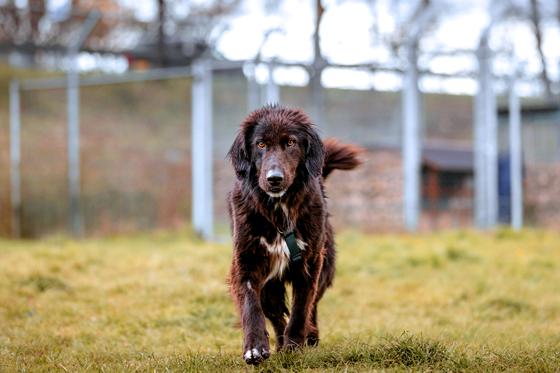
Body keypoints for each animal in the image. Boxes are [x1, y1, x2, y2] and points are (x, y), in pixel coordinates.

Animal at [229, 104, 364, 364]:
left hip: (325, 265)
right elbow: (251, 306)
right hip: (270, 286)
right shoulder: (246, 262)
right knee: (275, 315)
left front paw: (294, 347)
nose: (274, 179)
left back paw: (308, 337)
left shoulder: (310, 263)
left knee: (311, 308)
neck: (279, 208)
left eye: (291, 142)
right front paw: (255, 348)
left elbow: (301, 309)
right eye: (260, 144)